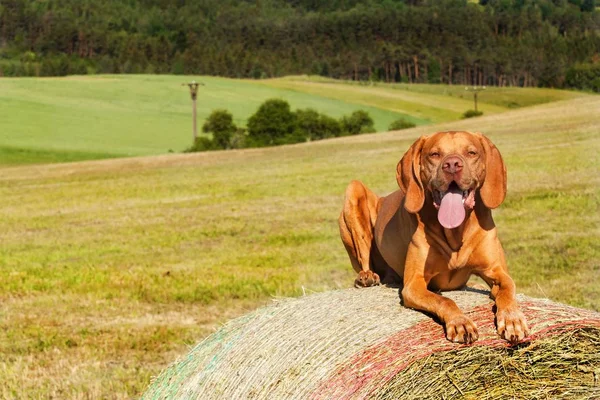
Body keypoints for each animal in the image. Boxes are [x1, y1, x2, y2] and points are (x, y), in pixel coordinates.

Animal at [340, 131, 528, 344]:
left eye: (471, 152)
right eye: (434, 154)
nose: (452, 164)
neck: (456, 232)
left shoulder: (497, 271)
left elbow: (507, 288)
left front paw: (513, 318)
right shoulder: (414, 284)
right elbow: (444, 299)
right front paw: (460, 321)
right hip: (354, 193)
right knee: (364, 257)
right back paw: (366, 276)